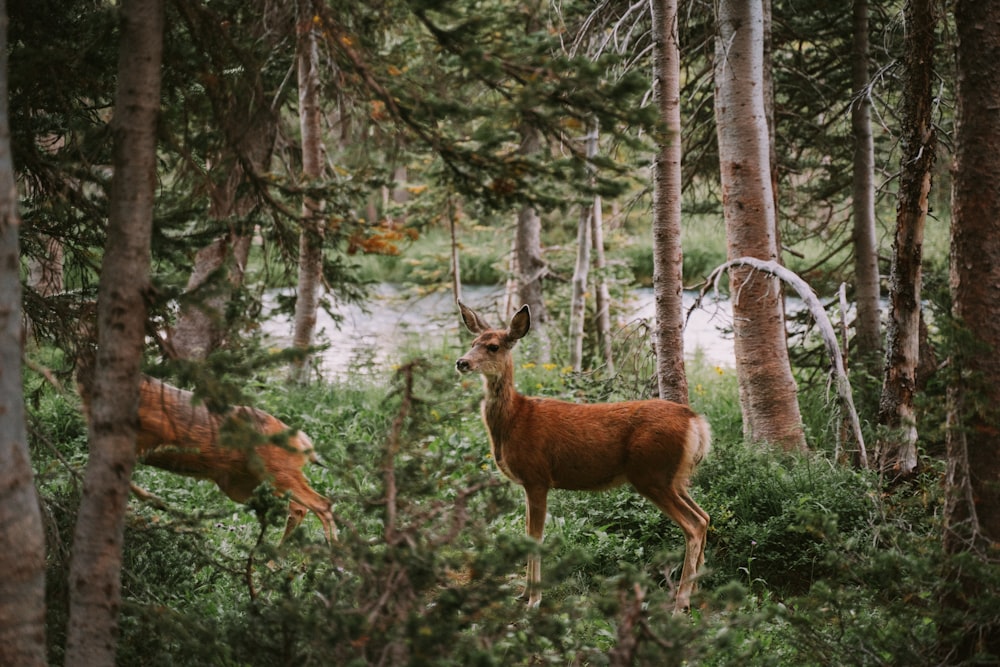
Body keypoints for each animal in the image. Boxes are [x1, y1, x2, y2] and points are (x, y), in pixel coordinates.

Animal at [79, 374, 336, 544]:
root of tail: (303, 441)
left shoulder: (150, 435)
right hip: (243, 484)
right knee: (298, 508)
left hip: (276, 472)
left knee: (321, 504)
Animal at [458, 302, 712, 612]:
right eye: (473, 342)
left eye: (493, 346)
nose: (462, 362)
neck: (514, 420)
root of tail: (696, 422)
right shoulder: (528, 483)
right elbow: (527, 534)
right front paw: (523, 593)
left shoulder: (537, 477)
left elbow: (535, 537)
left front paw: (534, 600)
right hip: (673, 477)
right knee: (705, 516)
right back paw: (696, 593)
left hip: (651, 474)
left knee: (694, 525)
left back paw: (680, 603)